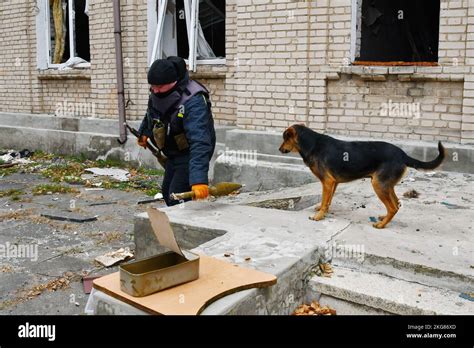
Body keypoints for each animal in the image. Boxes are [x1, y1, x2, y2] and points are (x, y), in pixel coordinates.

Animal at [278, 125, 444, 228]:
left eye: (285, 138)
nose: (279, 149)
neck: (312, 144)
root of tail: (403, 155)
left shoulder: (327, 181)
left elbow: (325, 200)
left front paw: (318, 216)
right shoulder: (333, 183)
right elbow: (328, 200)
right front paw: (322, 211)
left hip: (378, 185)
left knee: (393, 207)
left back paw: (381, 225)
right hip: (386, 184)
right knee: (396, 204)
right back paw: (384, 219)